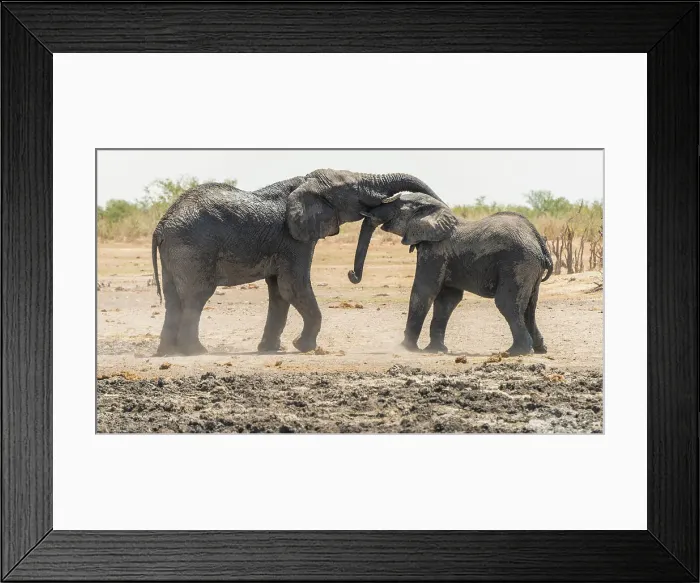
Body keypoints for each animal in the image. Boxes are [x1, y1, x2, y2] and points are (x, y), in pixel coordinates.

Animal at [151, 169, 444, 356]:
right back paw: (196, 352)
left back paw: (167, 354)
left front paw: (270, 350)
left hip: (176, 252)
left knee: (173, 298)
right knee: (196, 297)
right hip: (193, 248)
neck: (304, 183)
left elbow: (279, 293)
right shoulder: (293, 239)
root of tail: (162, 225)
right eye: (352, 190)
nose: (352, 274)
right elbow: (293, 287)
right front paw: (304, 347)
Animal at [347, 191, 553, 356]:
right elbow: (447, 299)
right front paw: (435, 350)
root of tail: (538, 241)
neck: (435, 211)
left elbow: (424, 291)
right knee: (529, 307)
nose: (352, 274)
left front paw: (406, 348)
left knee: (507, 304)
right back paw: (539, 349)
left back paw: (515, 352)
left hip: (517, 263)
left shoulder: (435, 251)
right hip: (529, 268)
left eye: (395, 206)